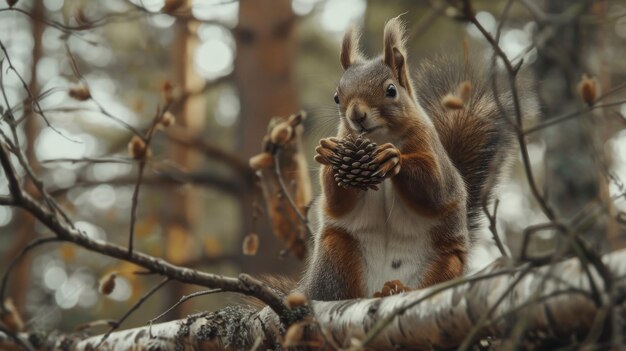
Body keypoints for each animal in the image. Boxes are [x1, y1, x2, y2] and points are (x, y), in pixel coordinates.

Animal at [298, 17, 536, 302]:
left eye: (391, 90)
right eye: (337, 97)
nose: (356, 115)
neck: (378, 138)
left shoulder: (431, 152)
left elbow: (434, 189)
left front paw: (394, 157)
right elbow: (337, 202)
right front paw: (328, 152)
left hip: (447, 263)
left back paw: (398, 289)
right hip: (335, 251)